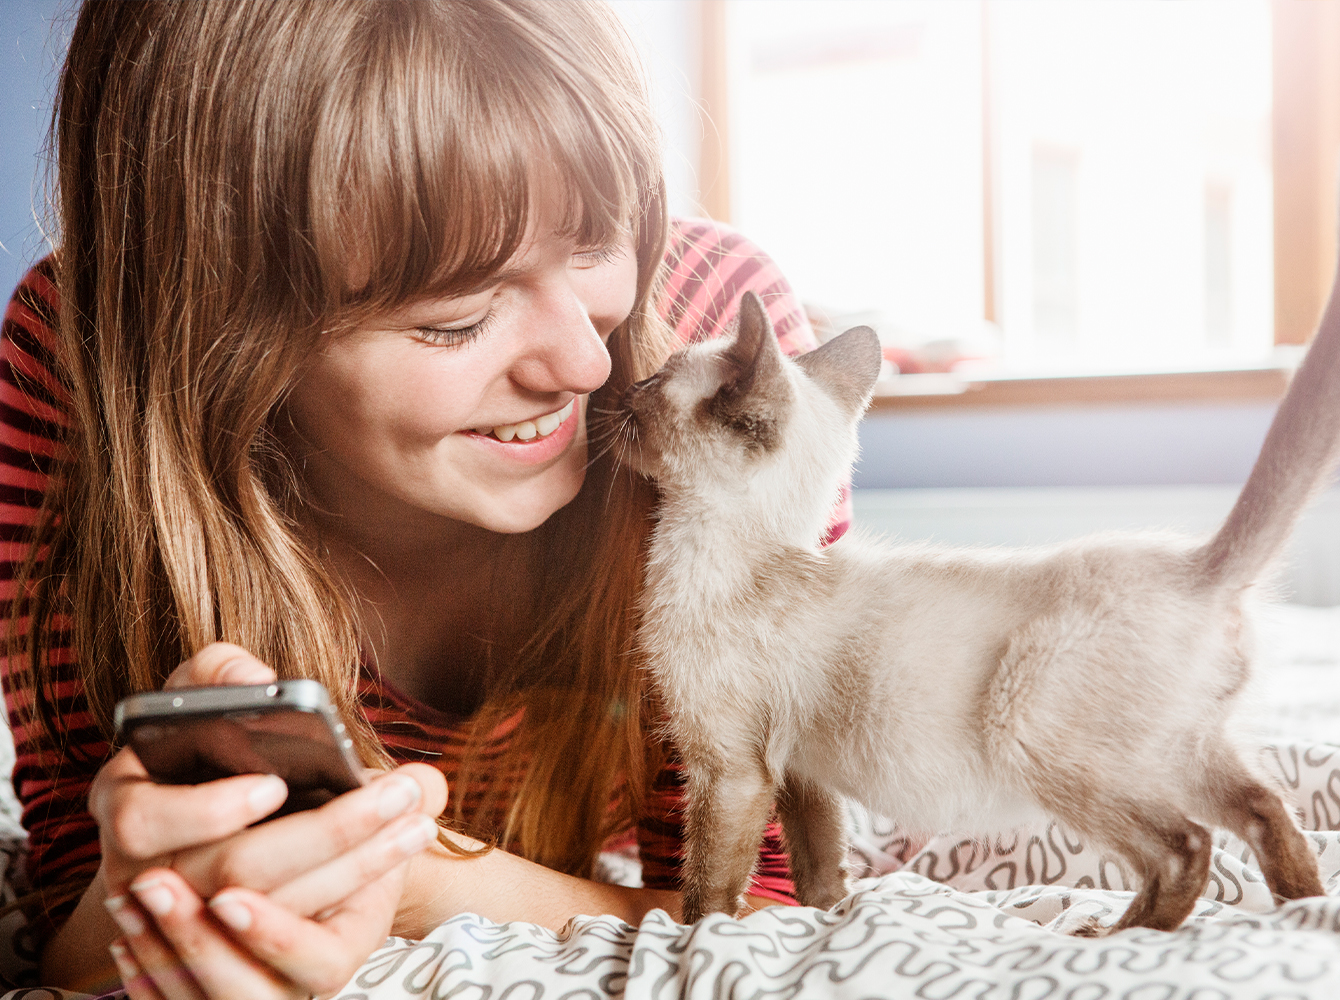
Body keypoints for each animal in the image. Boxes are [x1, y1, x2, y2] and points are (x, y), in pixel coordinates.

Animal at [621, 288, 1334, 927]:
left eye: (656, 382)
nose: (622, 392)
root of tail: (1201, 567)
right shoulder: (799, 771)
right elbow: (819, 863)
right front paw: (830, 916)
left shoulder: (730, 770)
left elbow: (707, 885)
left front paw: (696, 939)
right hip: (1184, 755)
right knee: (1268, 813)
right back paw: (1303, 913)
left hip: (1034, 733)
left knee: (1186, 848)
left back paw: (1112, 935)